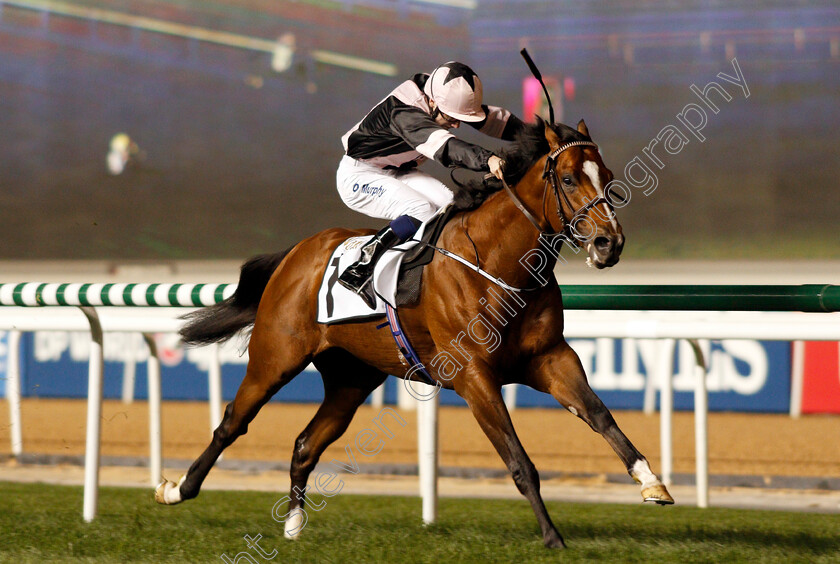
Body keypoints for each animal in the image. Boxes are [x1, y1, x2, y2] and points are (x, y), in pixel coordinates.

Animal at [154, 118, 672, 548]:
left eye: (607, 176)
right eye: (567, 179)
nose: (609, 243)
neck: (499, 263)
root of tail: (298, 252)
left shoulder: (550, 358)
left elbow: (600, 415)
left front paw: (651, 482)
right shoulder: (474, 376)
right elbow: (519, 460)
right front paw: (552, 537)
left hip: (351, 377)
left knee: (307, 443)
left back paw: (294, 523)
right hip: (275, 358)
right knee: (231, 423)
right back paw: (177, 489)